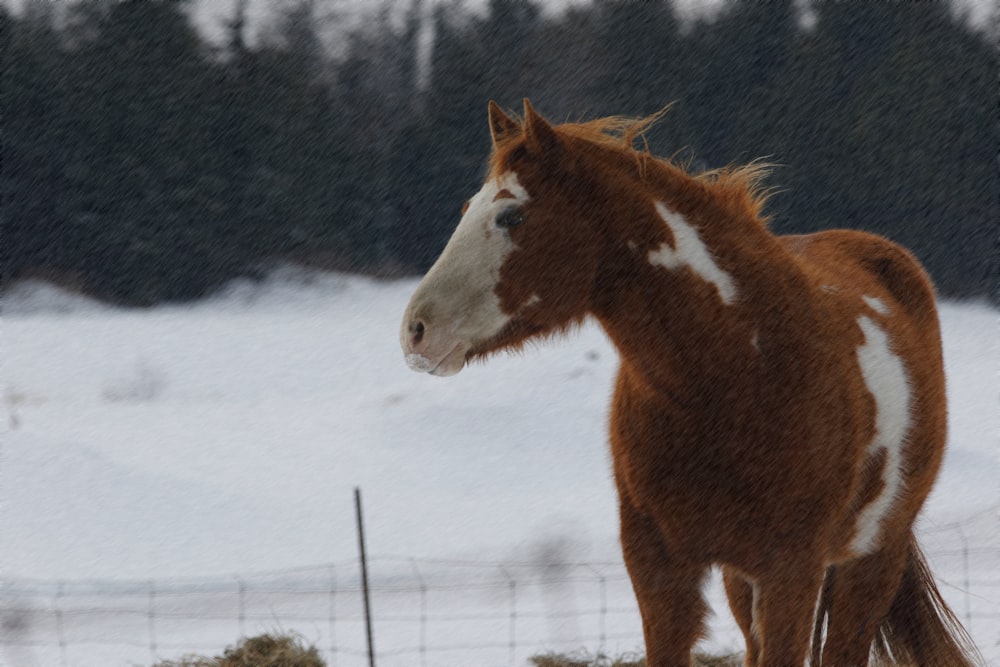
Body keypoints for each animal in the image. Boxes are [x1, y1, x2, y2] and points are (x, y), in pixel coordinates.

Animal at [396, 100, 976, 667]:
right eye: (467, 209)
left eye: (511, 214)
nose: (416, 330)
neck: (737, 374)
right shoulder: (659, 565)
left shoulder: (792, 568)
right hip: (746, 578)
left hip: (872, 557)